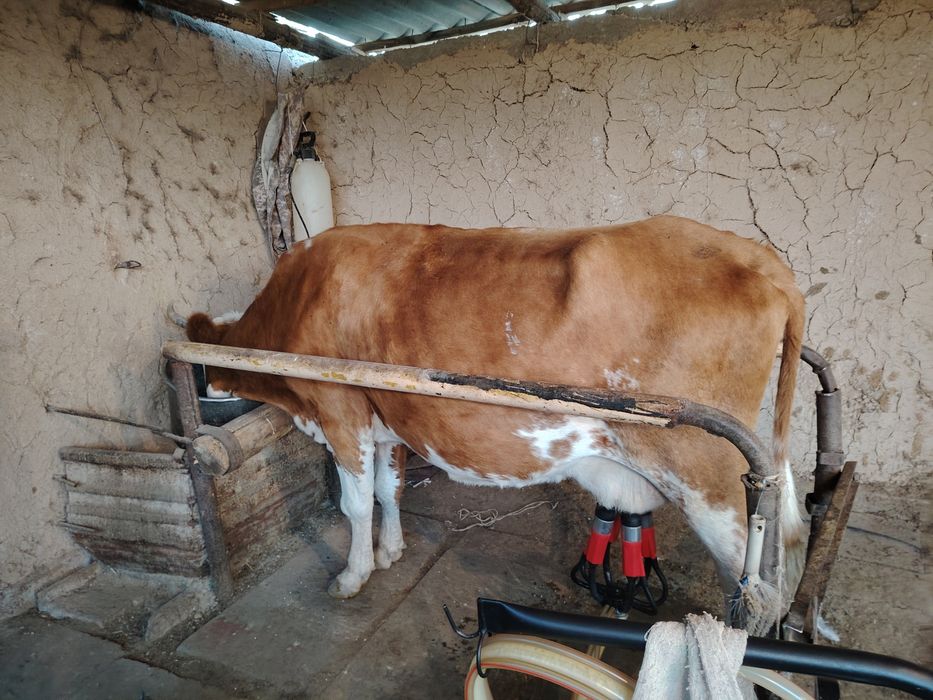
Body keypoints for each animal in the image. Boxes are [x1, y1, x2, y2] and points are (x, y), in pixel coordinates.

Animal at [185, 215, 807, 615]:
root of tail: (762, 258)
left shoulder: (340, 412)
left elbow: (355, 504)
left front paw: (353, 575)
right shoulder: (386, 422)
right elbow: (388, 489)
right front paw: (391, 552)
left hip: (709, 472)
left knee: (756, 592)